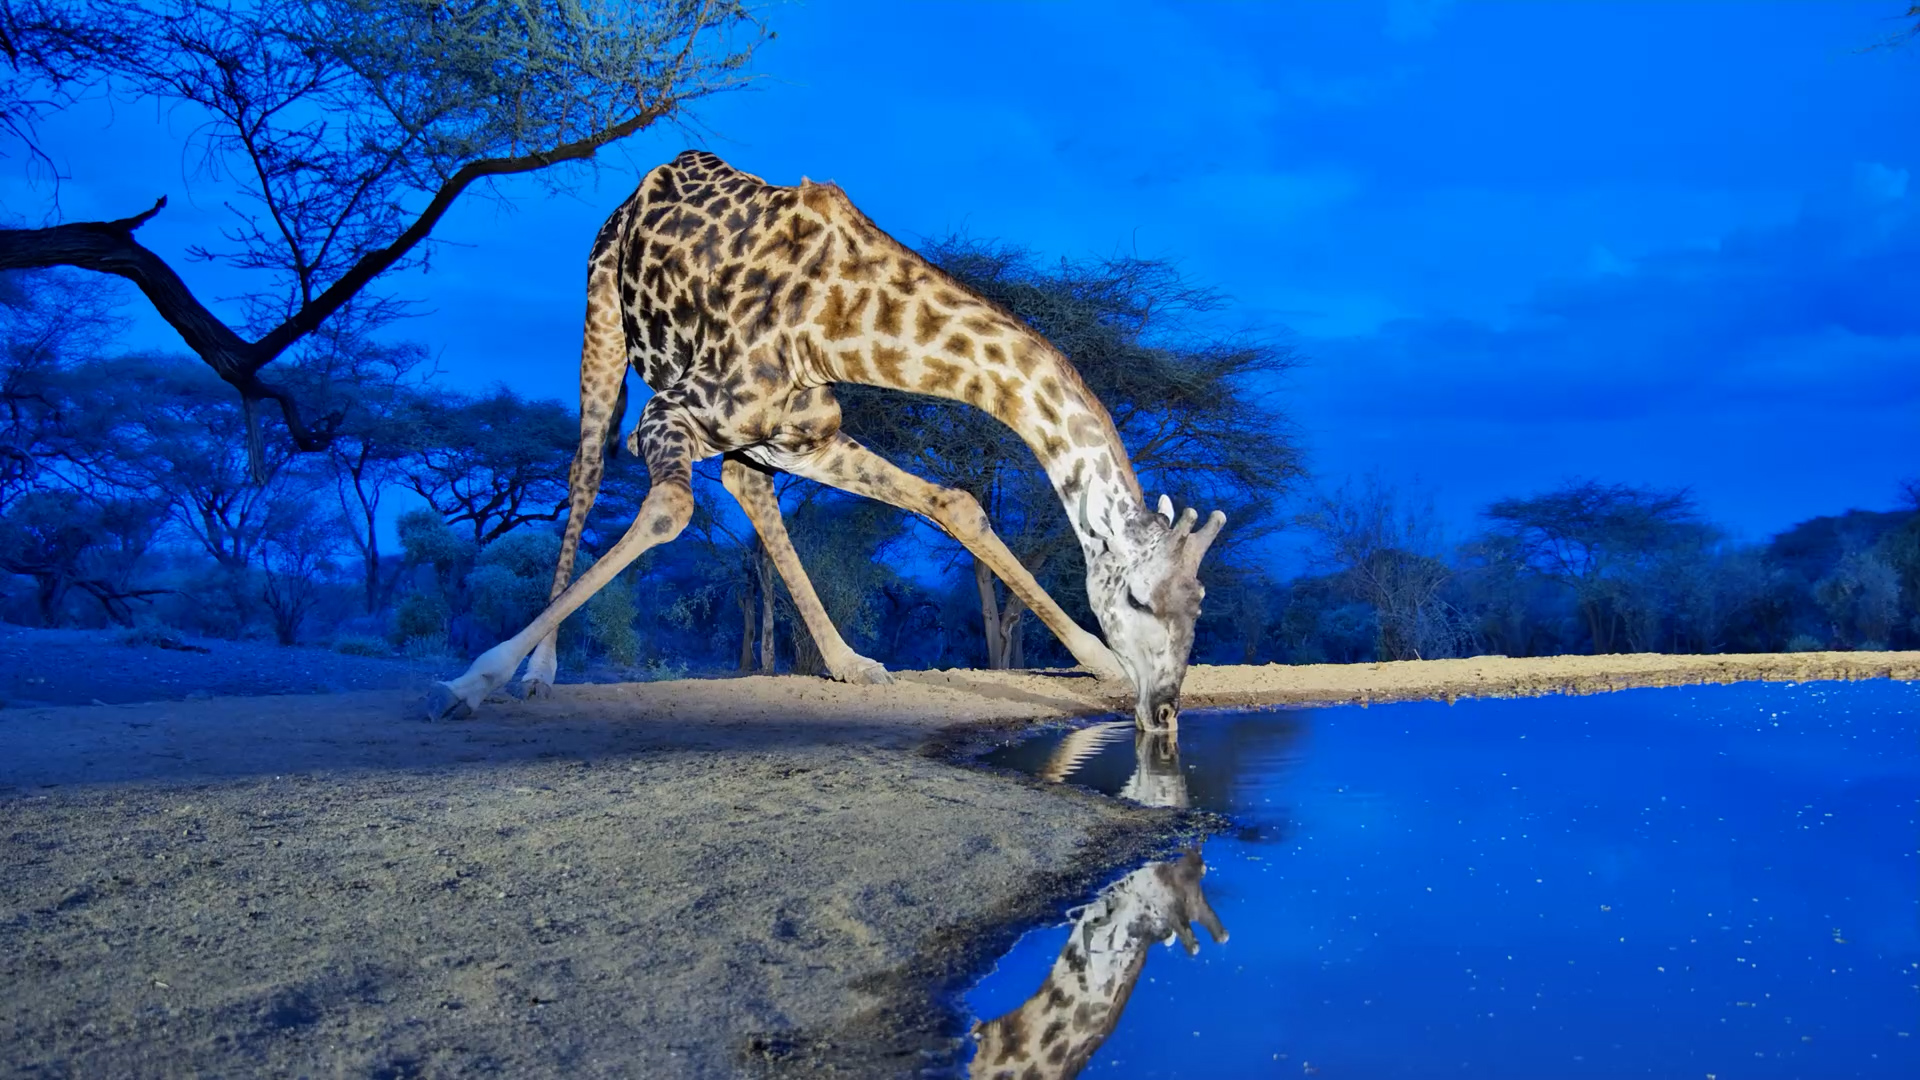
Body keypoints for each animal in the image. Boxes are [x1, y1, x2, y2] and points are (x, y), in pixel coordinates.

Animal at [422, 150, 1226, 728]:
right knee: (586, 472)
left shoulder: (806, 437)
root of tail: (637, 191)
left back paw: (851, 662)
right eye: (1142, 603)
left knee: (744, 485)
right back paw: (539, 674)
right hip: (603, 325)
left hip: (750, 438)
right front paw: (471, 680)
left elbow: (955, 501)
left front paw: (1099, 665)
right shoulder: (668, 412)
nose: (1164, 710)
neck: (842, 325)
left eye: (1198, 610)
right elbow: (667, 511)